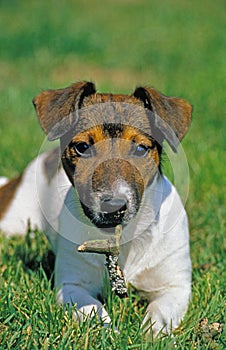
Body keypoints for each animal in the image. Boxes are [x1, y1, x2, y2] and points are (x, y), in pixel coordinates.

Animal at [0, 82, 192, 336]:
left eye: (141, 149)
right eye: (82, 147)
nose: (113, 206)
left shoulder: (175, 286)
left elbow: (160, 314)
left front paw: (151, 336)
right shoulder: (73, 285)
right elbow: (92, 309)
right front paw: (111, 334)